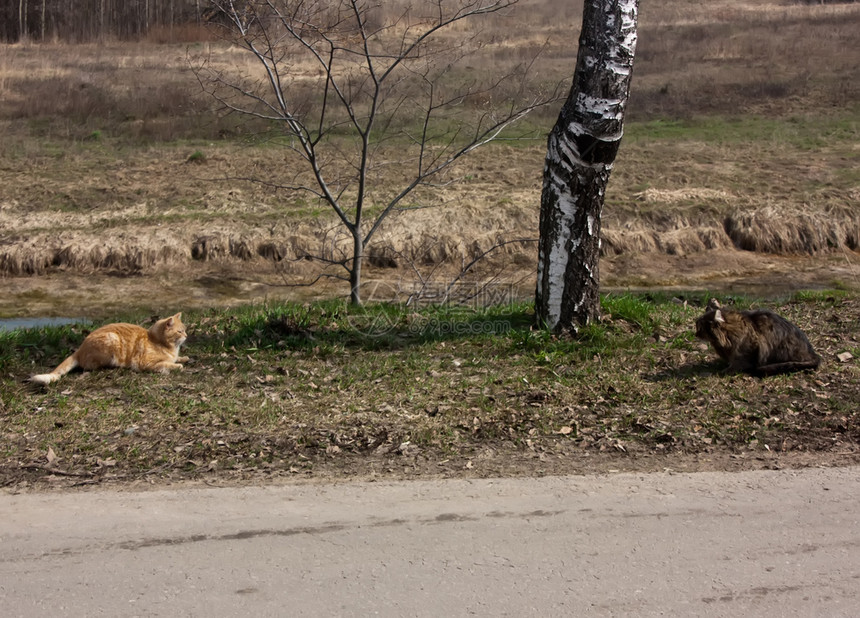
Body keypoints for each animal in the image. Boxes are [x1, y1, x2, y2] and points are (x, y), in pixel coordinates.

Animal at [29, 312, 188, 384]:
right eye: (180, 331)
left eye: (185, 330)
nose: (186, 336)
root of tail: (79, 349)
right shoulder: (145, 363)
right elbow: (167, 364)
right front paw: (177, 365)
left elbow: (175, 359)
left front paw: (183, 358)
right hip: (112, 339)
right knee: (89, 366)